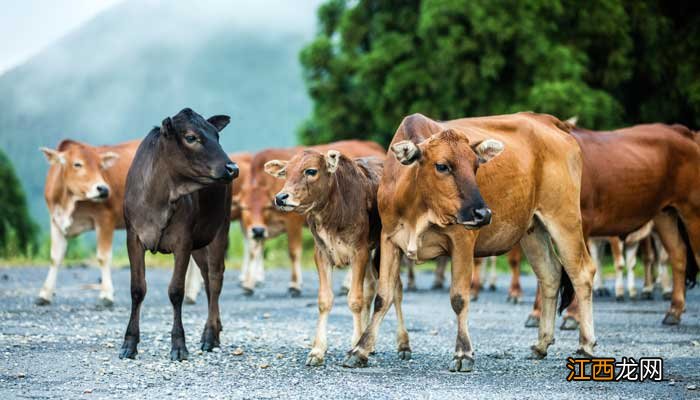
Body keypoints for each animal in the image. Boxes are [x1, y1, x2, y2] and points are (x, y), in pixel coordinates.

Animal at [37, 139, 141, 304]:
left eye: (101, 166)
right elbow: (55, 257)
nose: (103, 189)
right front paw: (45, 293)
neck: (68, 202)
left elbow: (103, 257)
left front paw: (106, 295)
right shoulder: (56, 220)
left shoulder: (105, 218)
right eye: (77, 164)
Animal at [119, 108, 239, 360]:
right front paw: (129, 344)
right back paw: (215, 330)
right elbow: (137, 289)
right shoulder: (133, 236)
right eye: (191, 137)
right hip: (200, 243)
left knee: (216, 278)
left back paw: (210, 336)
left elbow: (176, 291)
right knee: (206, 277)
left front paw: (178, 346)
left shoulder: (183, 241)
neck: (160, 199)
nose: (232, 168)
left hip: (220, 228)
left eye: (217, 136)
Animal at [344, 110, 596, 372]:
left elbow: (459, 298)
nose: (482, 214)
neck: (418, 207)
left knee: (582, 273)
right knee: (550, 274)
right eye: (442, 166)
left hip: (564, 218)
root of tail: (551, 122)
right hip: (533, 229)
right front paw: (360, 349)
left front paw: (463, 353)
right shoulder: (389, 240)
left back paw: (586, 344)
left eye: (476, 166)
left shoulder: (462, 240)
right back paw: (542, 344)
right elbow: (383, 297)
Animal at [524, 124, 700, 328]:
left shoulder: (580, 223)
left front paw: (572, 316)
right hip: (665, 214)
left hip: (692, 209)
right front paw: (536, 314)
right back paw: (674, 311)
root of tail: (683, 132)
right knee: (678, 253)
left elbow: (576, 267)